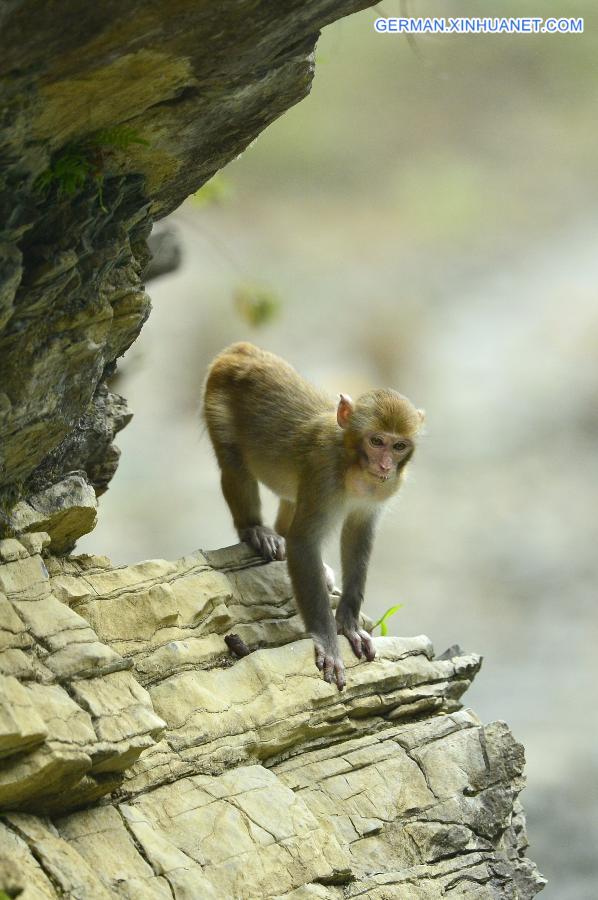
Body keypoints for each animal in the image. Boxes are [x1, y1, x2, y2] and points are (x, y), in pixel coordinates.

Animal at [204, 342, 424, 688]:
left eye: (399, 446)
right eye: (377, 441)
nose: (385, 466)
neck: (350, 462)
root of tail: (241, 350)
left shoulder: (378, 494)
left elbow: (358, 538)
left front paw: (349, 622)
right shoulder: (323, 473)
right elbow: (303, 543)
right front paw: (327, 641)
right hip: (218, 405)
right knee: (234, 464)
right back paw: (255, 529)